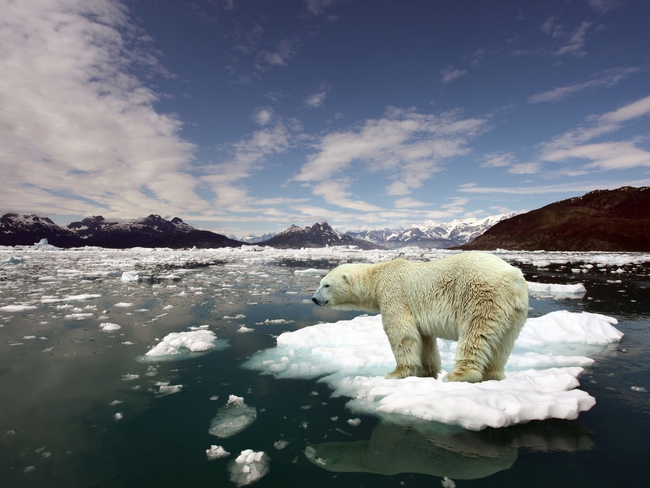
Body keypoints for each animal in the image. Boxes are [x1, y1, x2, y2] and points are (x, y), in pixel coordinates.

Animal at [310, 254, 528, 384]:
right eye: (320, 283)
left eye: (326, 285)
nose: (314, 299)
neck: (377, 278)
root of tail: (513, 278)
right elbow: (424, 339)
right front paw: (426, 371)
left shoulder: (394, 295)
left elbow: (401, 333)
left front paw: (396, 373)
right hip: (514, 312)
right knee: (503, 344)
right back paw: (493, 375)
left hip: (481, 297)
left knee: (475, 334)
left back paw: (458, 375)